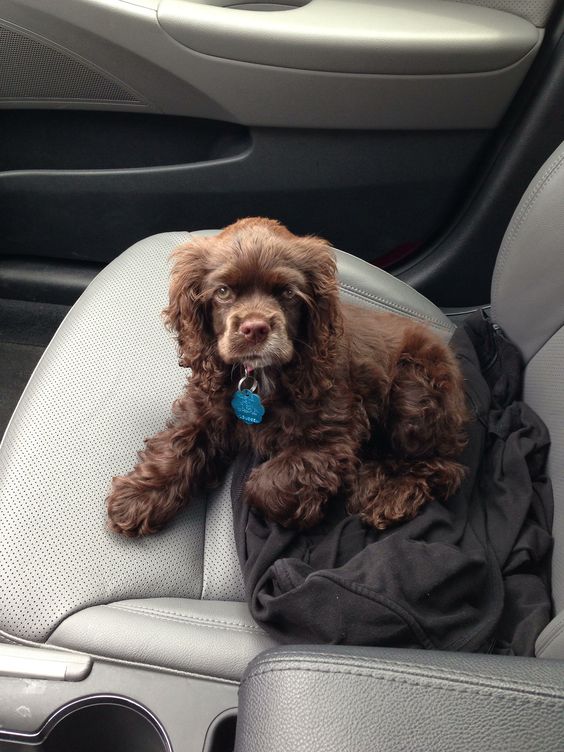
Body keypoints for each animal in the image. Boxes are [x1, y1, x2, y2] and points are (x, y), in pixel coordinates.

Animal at [106, 216, 468, 536]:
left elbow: (265, 484)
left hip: (414, 391)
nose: (255, 328)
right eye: (223, 292)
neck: (258, 375)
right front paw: (136, 497)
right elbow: (176, 444)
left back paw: (386, 494)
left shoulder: (336, 430)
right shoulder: (206, 406)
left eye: (289, 293)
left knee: (443, 466)